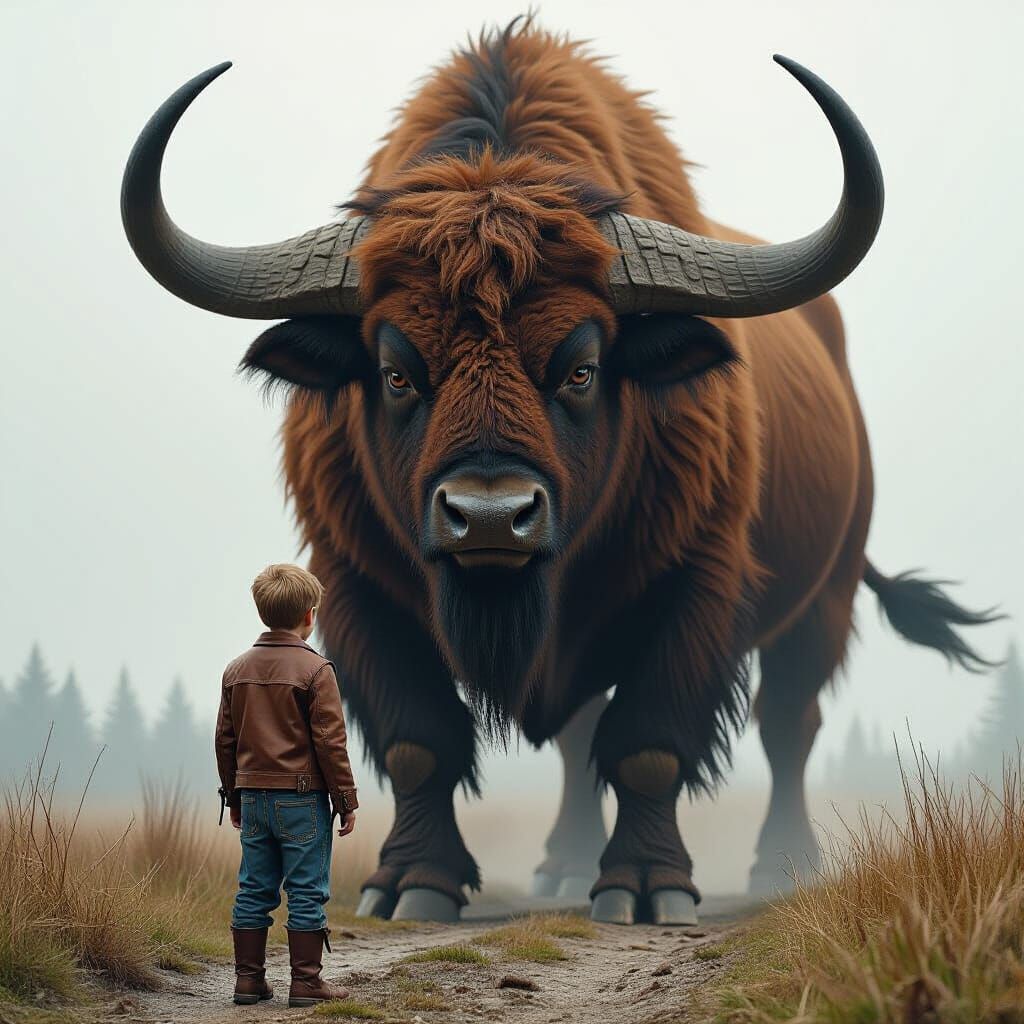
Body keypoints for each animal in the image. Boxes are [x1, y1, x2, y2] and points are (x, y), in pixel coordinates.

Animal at [122, 20, 997, 925]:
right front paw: (410, 887)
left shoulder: (695, 587)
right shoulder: (358, 589)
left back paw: (779, 866)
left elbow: (649, 746)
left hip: (823, 599)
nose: (489, 517)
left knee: (789, 723)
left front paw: (646, 888)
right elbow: (418, 744)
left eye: (581, 366)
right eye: (396, 371)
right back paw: (564, 867)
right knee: (583, 737)